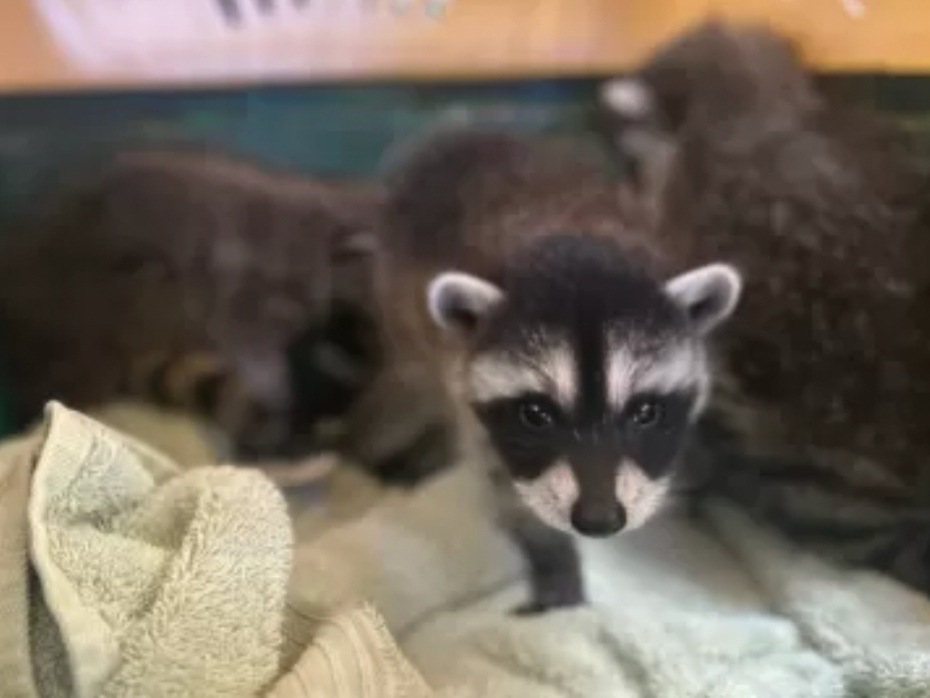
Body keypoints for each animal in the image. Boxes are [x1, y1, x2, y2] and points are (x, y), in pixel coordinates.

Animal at [349, 128, 742, 612]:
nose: (598, 520)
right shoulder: (466, 392)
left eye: (646, 412)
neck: (574, 241)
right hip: (398, 304)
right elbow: (508, 487)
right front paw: (551, 556)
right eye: (535, 415)